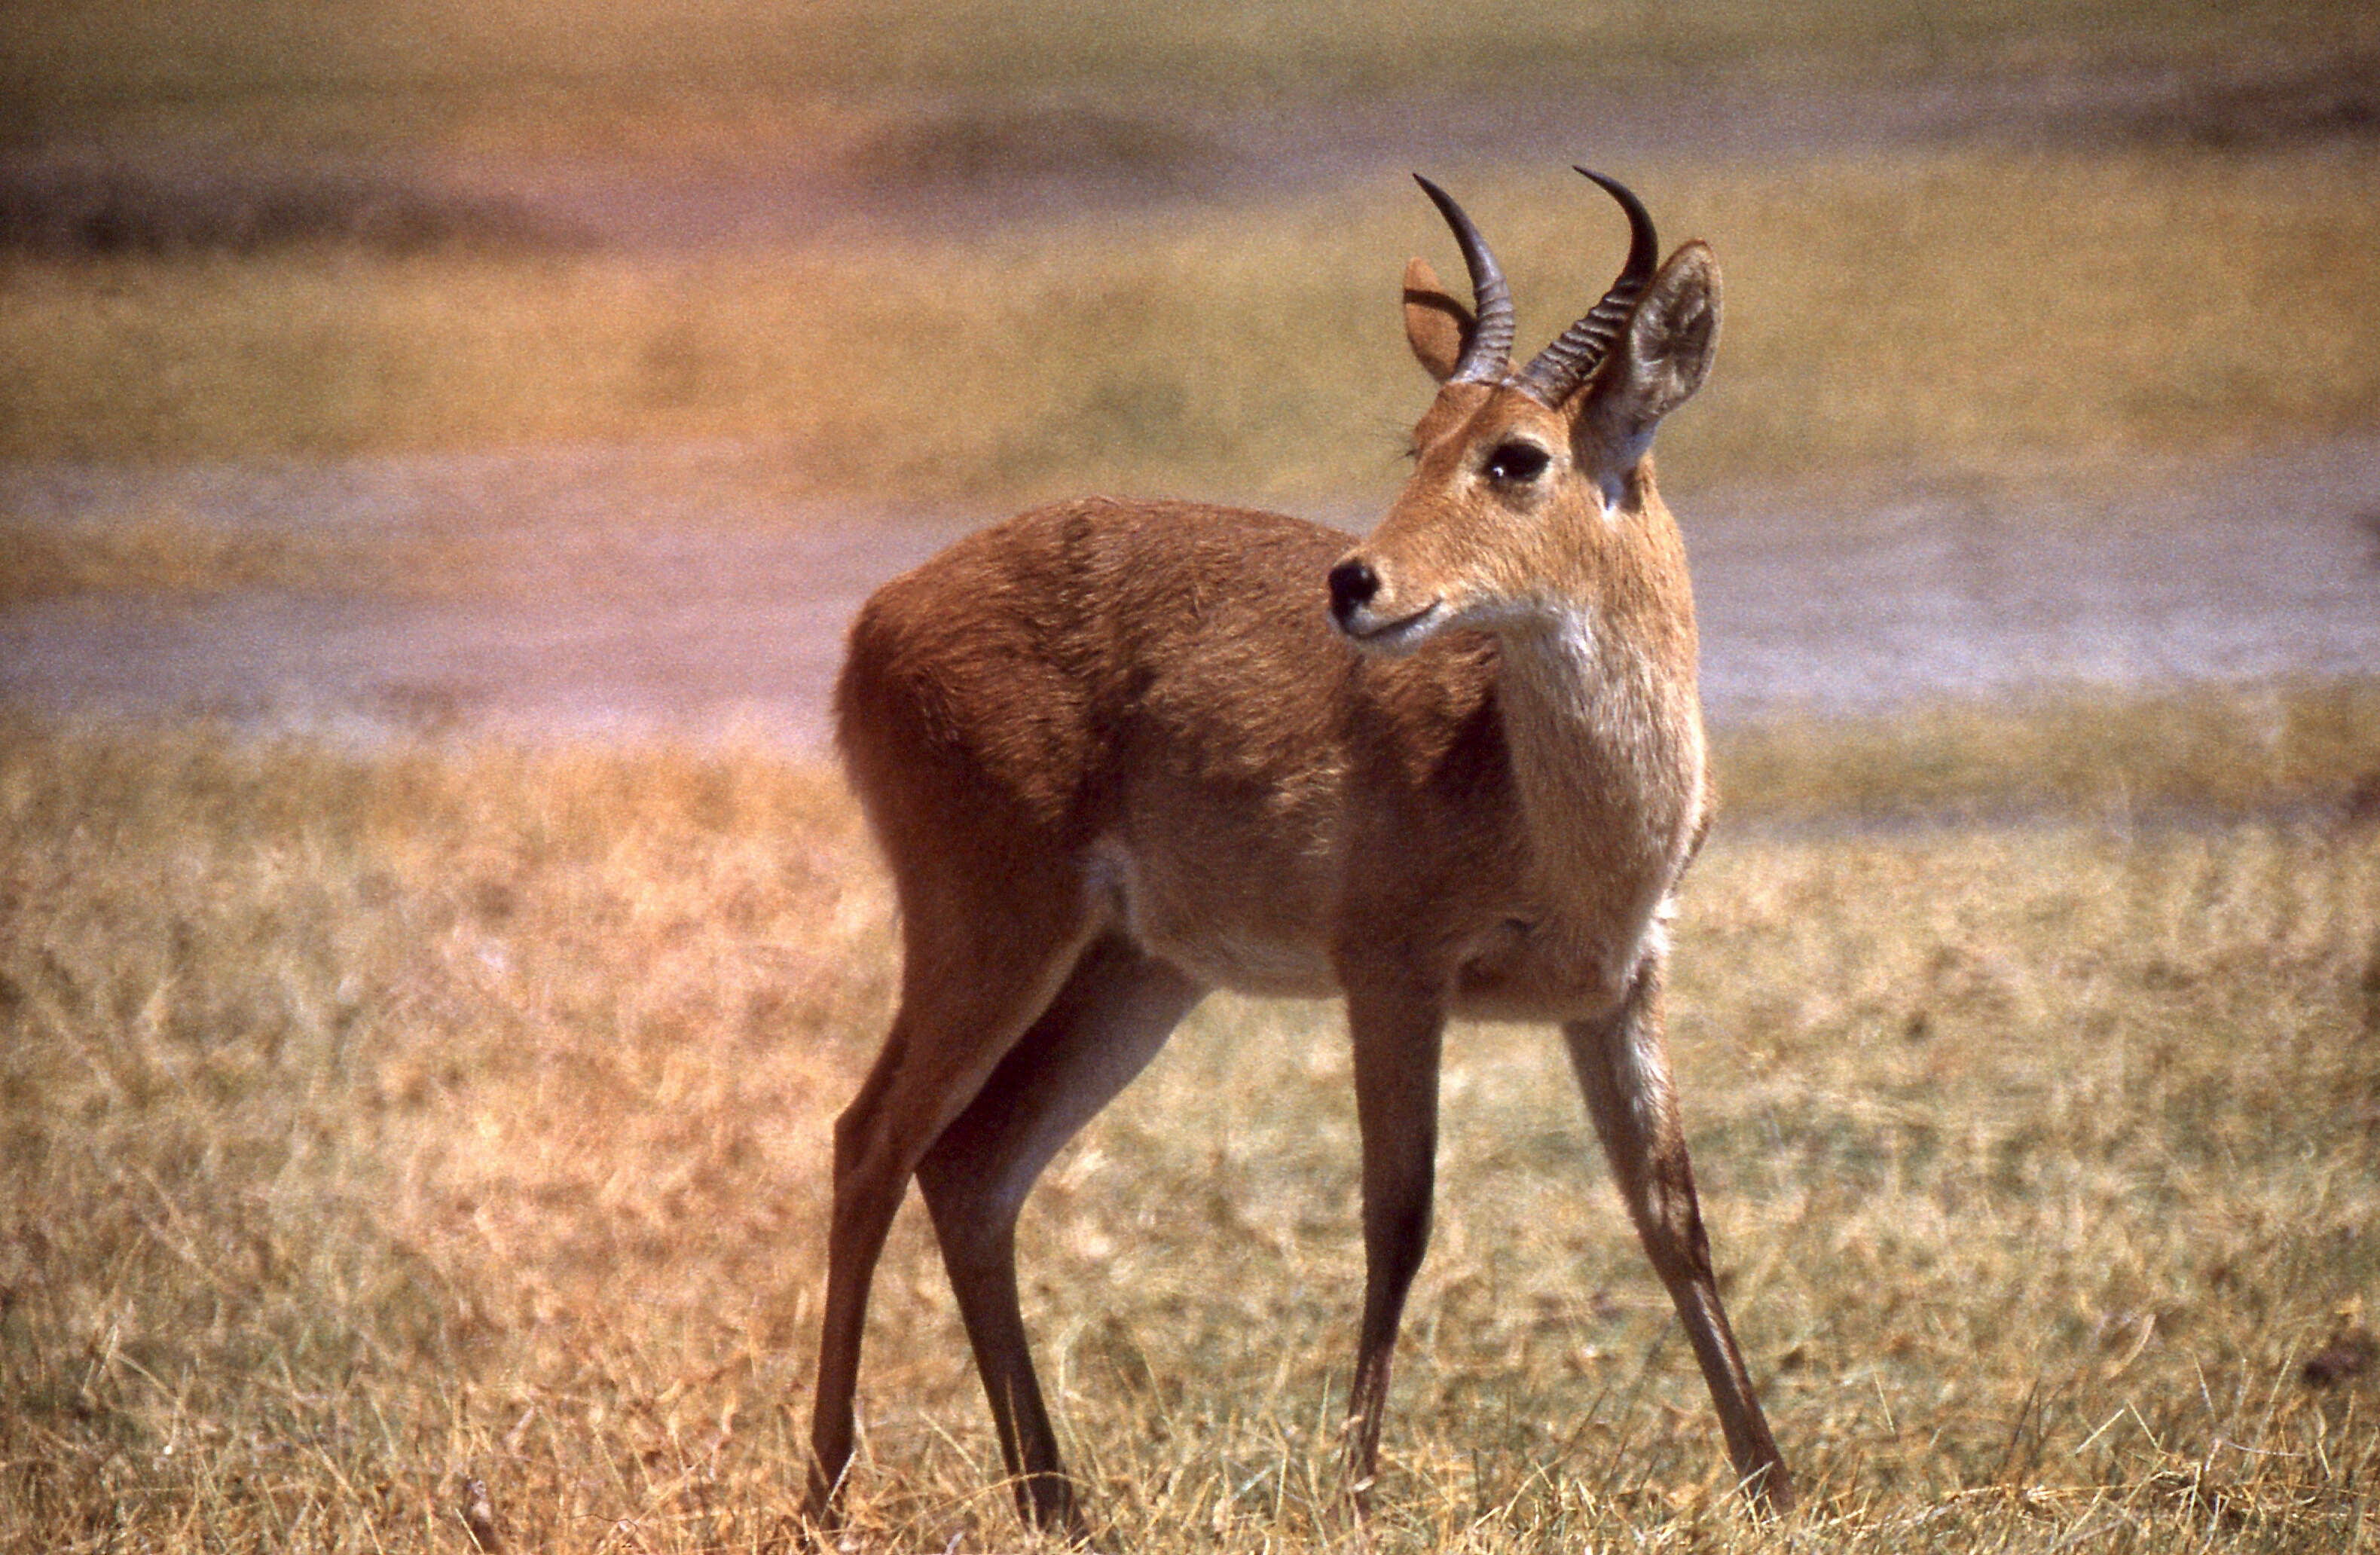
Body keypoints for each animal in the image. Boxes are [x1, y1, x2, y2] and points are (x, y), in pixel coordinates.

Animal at [809, 166, 1789, 1523]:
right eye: (1415, 443)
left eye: (1516, 454)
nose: (1355, 583)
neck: (1541, 794)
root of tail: (876, 617)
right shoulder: (1389, 973)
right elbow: (1398, 1216)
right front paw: (1357, 1493)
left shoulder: (1617, 988)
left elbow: (1672, 1217)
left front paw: (1777, 1485)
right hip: (988, 933)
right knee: (869, 1143)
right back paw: (825, 1494)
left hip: (1132, 973)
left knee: (970, 1167)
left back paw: (1054, 1500)